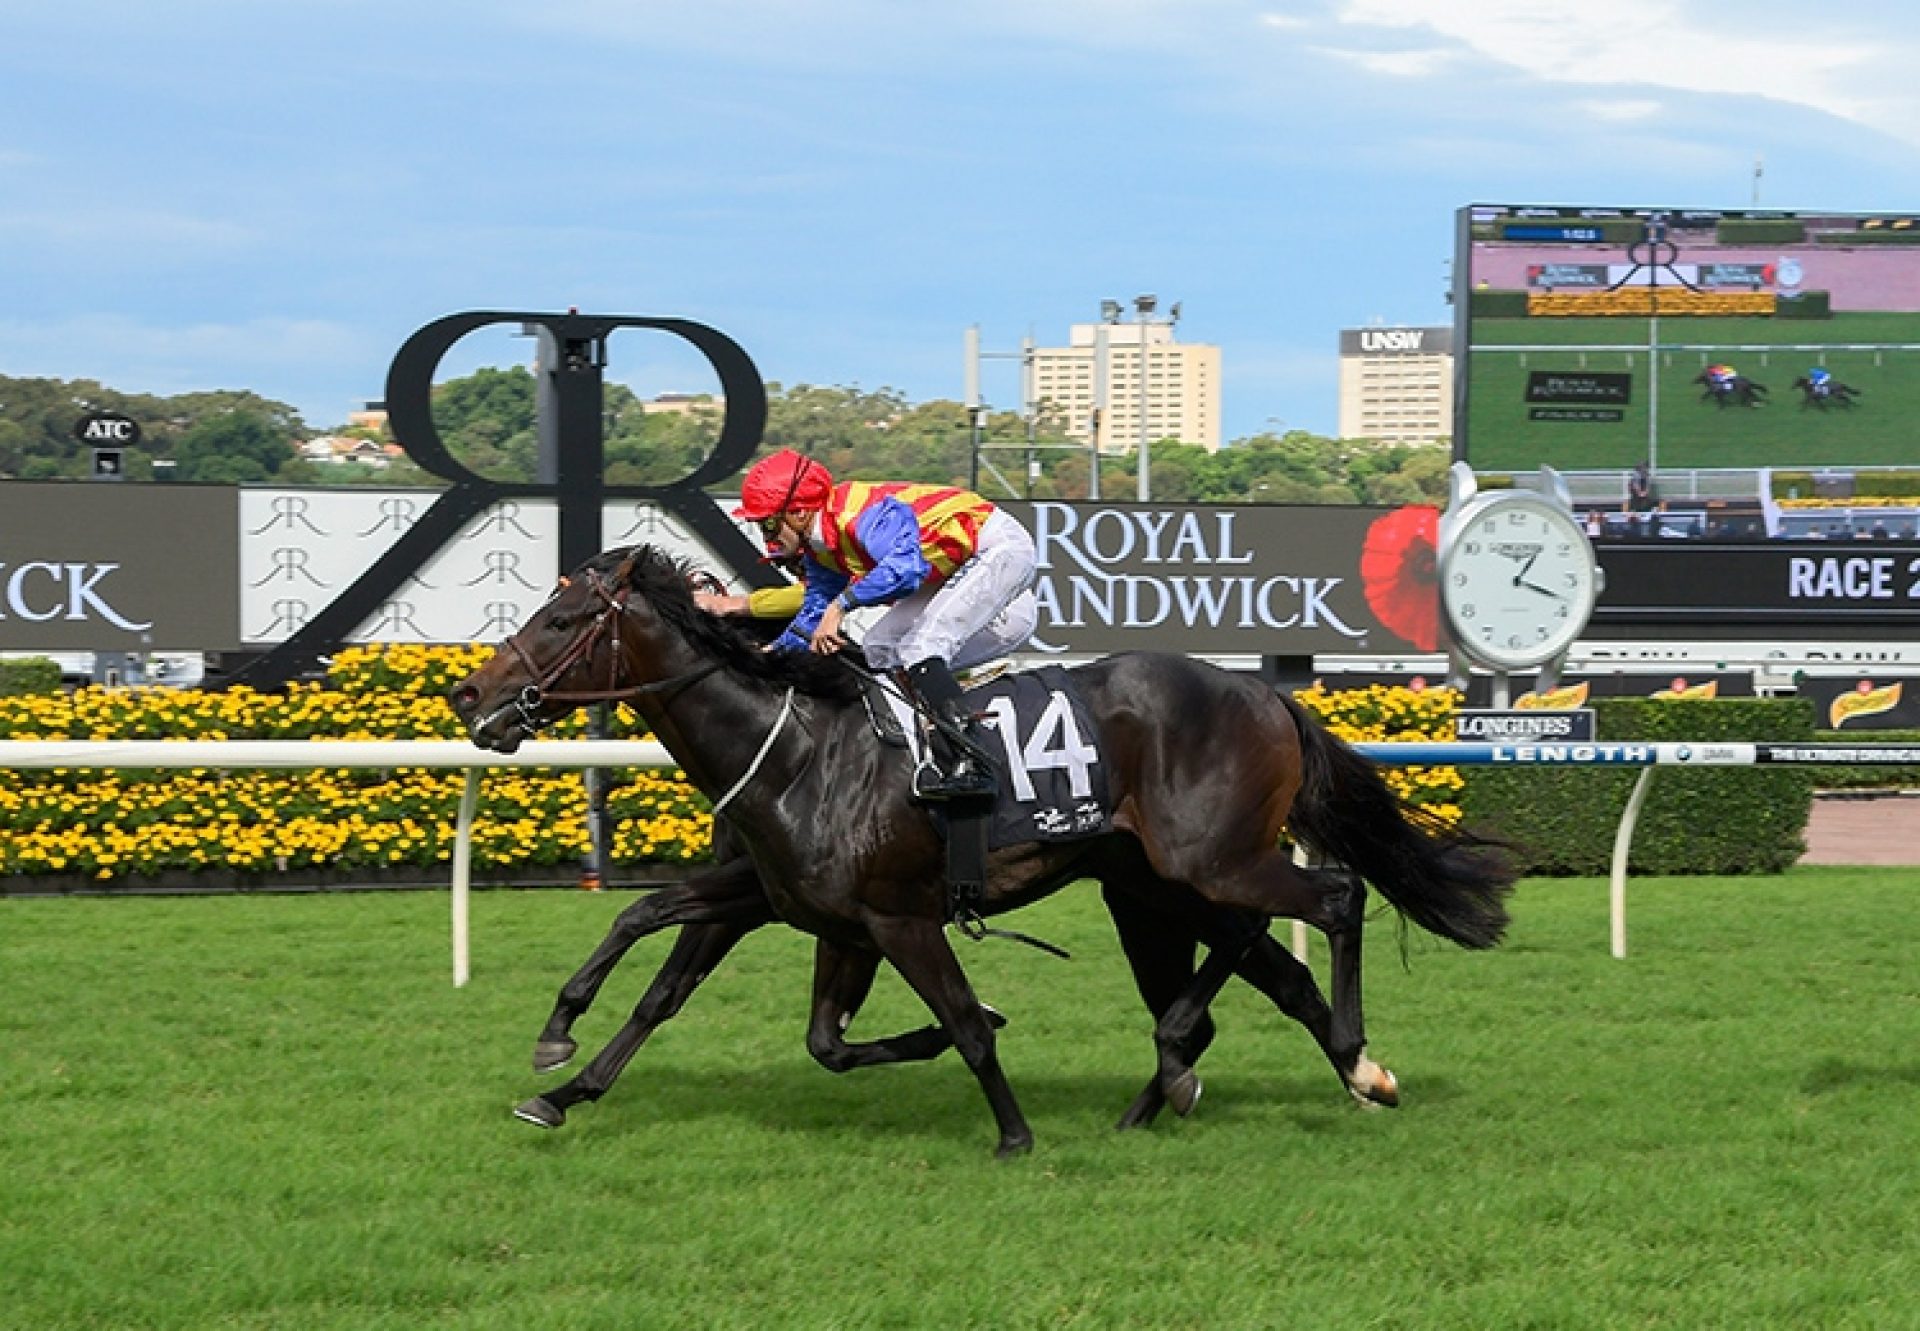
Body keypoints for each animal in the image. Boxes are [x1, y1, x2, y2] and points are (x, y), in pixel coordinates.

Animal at [453, 545, 1512, 1144]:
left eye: (559, 619)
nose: (468, 695)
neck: (797, 746)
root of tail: (1270, 694)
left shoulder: (897, 916)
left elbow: (962, 1021)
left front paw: (1012, 1133)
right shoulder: (794, 903)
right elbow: (675, 961)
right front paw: (563, 1069)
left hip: (1204, 862)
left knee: (1332, 900)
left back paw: (1331, 1056)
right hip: (1158, 887)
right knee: (1263, 967)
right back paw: (1191, 1088)